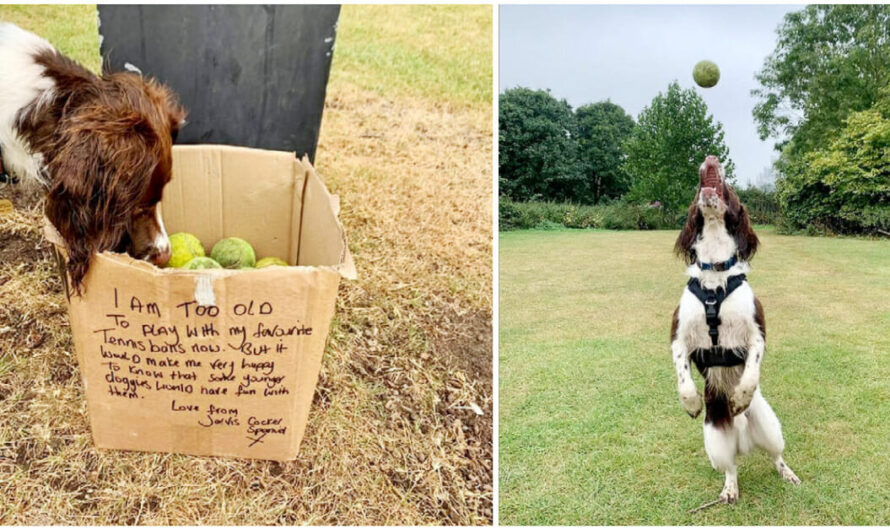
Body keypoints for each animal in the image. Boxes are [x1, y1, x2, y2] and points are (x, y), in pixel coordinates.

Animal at [668, 154, 800, 504]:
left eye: (728, 188)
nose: (711, 158)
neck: (715, 274)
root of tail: (742, 436)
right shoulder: (677, 336)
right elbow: (683, 375)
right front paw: (691, 403)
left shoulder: (757, 333)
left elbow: (751, 370)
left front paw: (739, 396)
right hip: (715, 443)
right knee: (731, 468)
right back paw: (729, 490)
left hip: (771, 427)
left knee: (776, 455)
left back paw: (788, 473)